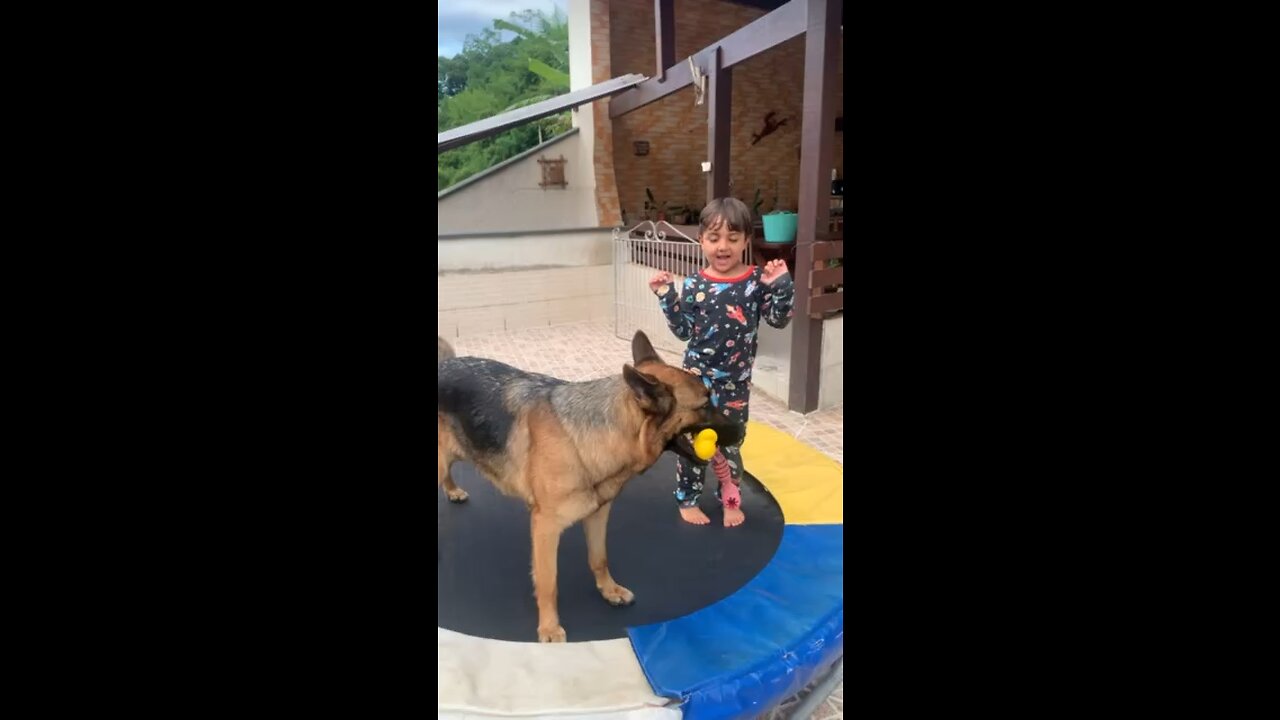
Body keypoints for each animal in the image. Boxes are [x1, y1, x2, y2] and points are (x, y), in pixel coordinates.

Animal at [437, 330, 747, 638]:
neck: (589, 436)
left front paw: (609, 591)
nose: (743, 430)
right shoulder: (545, 527)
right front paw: (549, 627)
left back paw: (453, 491)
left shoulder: (598, 514)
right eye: (704, 405)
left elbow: (599, 559)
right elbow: (549, 582)